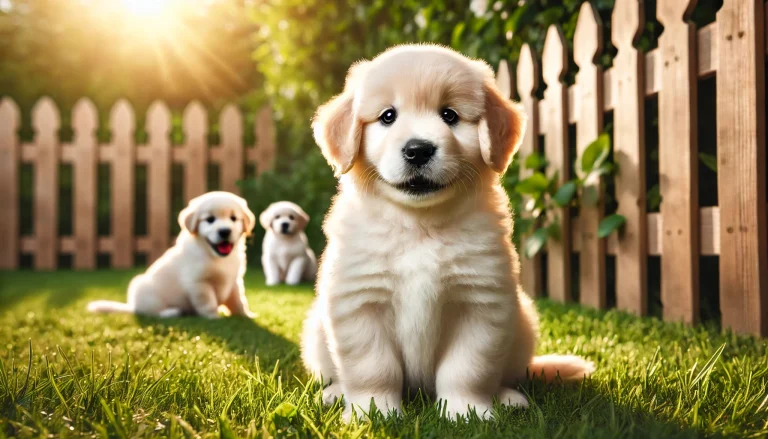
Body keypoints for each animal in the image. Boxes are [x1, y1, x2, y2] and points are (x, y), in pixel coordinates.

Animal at [86, 192, 255, 320]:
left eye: (233, 218)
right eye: (210, 220)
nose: (225, 231)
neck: (215, 257)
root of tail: (131, 306)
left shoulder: (234, 281)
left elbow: (239, 301)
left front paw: (246, 316)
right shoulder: (199, 283)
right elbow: (208, 302)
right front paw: (214, 318)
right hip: (143, 289)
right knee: (148, 313)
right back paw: (171, 312)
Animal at [300, 44, 592, 422]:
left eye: (449, 115)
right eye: (388, 116)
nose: (418, 149)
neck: (419, 225)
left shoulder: (480, 303)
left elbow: (468, 368)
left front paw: (468, 411)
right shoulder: (360, 302)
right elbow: (372, 367)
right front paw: (373, 411)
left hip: (522, 326)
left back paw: (507, 397)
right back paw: (336, 393)